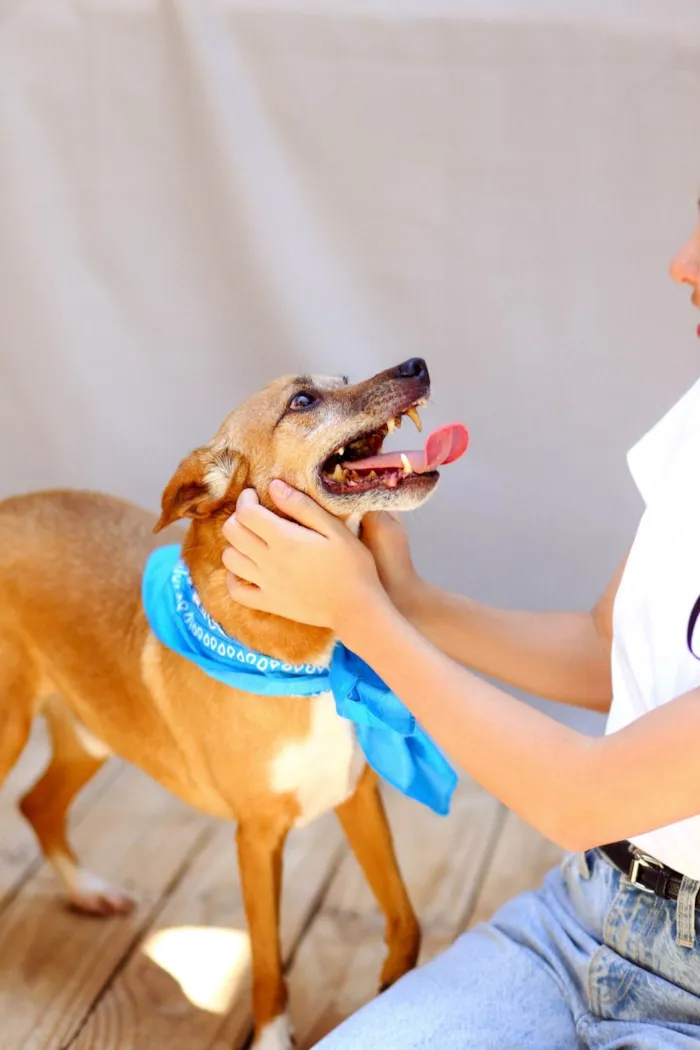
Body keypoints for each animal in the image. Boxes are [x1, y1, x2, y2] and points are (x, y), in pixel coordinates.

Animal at [1, 356, 442, 1045]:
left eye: (342, 380)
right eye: (303, 401)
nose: (417, 365)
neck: (305, 659)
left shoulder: (358, 797)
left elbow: (405, 916)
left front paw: (395, 989)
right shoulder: (256, 840)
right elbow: (265, 964)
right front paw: (271, 1035)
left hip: (92, 733)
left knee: (37, 805)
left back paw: (90, 892)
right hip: (11, 728)